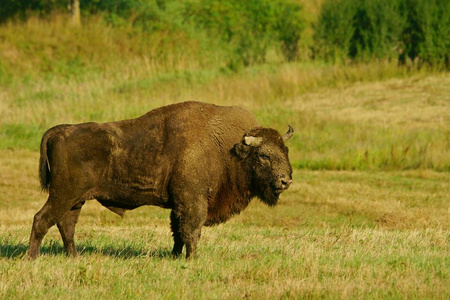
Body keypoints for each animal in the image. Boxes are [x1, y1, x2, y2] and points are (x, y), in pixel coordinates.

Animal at [29, 100, 296, 258]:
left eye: (285, 151)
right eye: (263, 155)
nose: (286, 181)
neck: (226, 147)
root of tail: (60, 130)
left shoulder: (179, 205)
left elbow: (178, 231)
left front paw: (176, 256)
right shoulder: (193, 202)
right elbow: (191, 231)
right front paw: (192, 258)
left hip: (76, 200)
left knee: (66, 225)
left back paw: (74, 257)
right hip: (63, 195)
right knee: (42, 220)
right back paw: (32, 258)